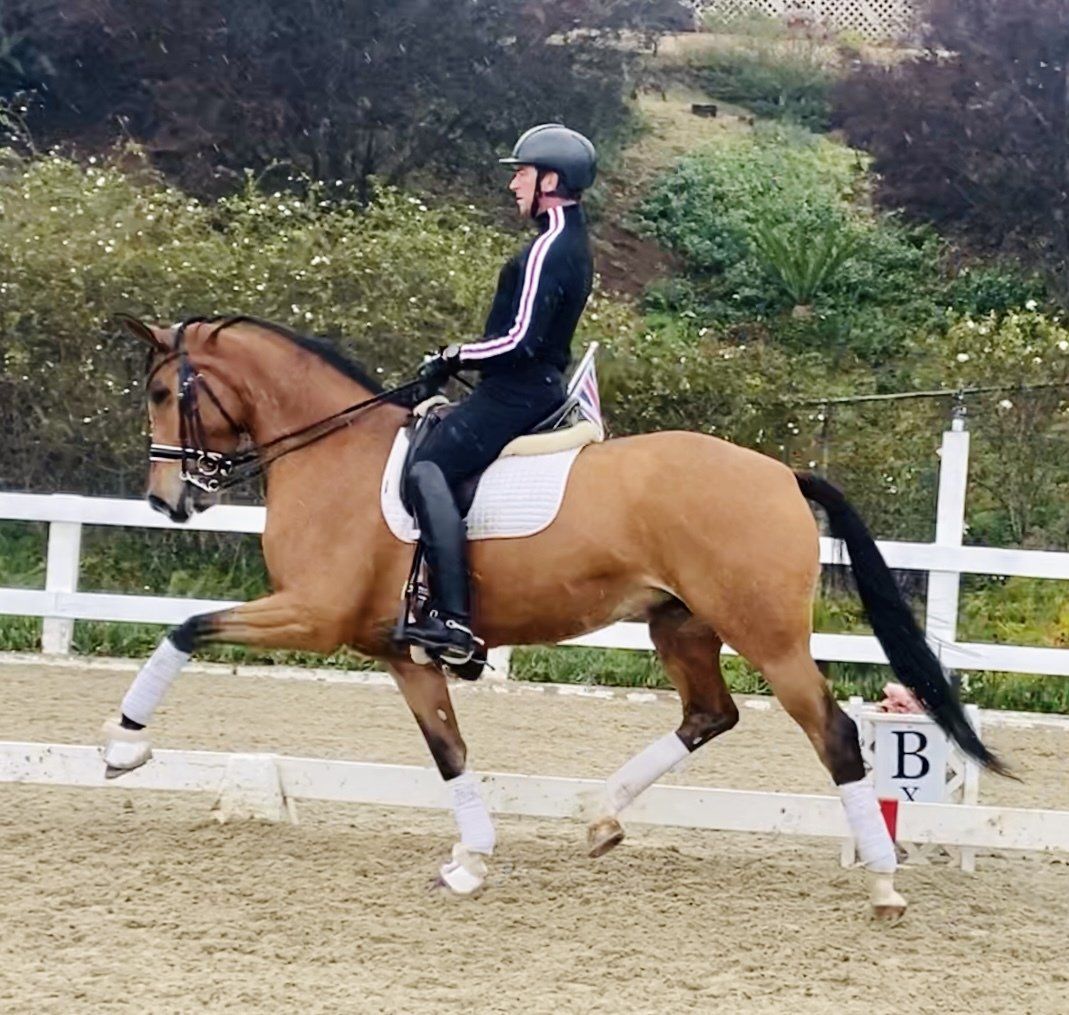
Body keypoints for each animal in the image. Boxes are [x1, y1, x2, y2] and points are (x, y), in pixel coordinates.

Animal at [104, 313, 1005, 918]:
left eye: (162, 390)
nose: (167, 500)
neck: (335, 457)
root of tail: (781, 471)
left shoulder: (311, 616)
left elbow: (184, 628)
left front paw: (123, 747)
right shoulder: (398, 650)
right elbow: (449, 751)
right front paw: (469, 861)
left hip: (768, 636)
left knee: (835, 734)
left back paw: (883, 882)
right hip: (680, 624)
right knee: (707, 714)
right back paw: (600, 815)